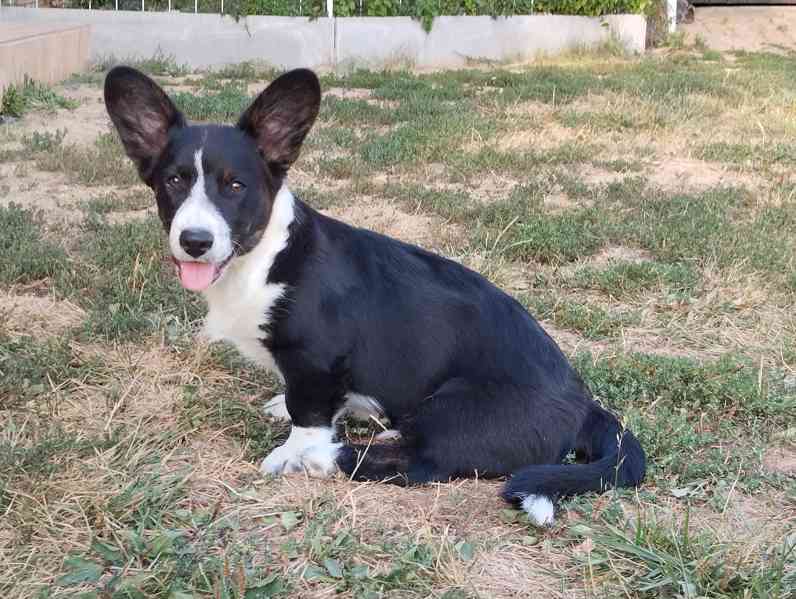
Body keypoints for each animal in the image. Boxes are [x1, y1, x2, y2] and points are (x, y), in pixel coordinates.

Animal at [104, 67, 648, 524]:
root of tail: (584, 403)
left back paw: (332, 458)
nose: (195, 241)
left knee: (420, 464)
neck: (262, 258)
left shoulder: (315, 362)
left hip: (451, 410)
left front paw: (294, 454)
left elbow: (308, 417)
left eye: (234, 186)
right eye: (174, 181)